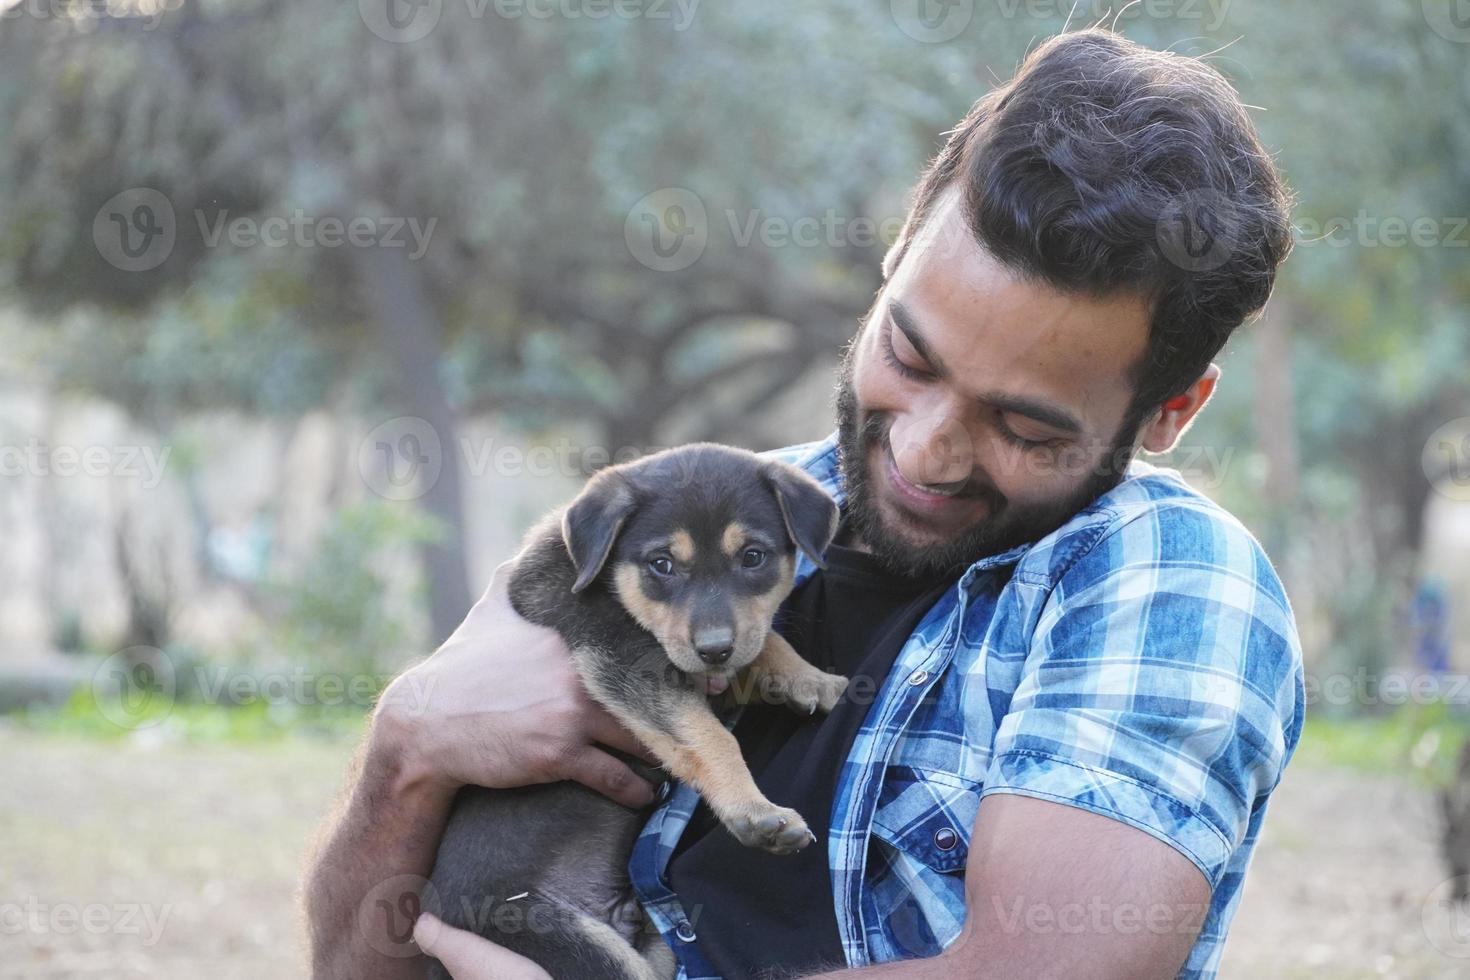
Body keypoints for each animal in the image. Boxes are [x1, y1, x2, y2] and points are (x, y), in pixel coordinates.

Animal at [423, 443, 852, 980]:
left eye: (753, 557)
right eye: (661, 564)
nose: (715, 650)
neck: (602, 575)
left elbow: (764, 639)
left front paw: (811, 679)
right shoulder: (623, 659)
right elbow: (710, 736)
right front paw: (756, 813)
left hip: (655, 943)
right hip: (562, 937)